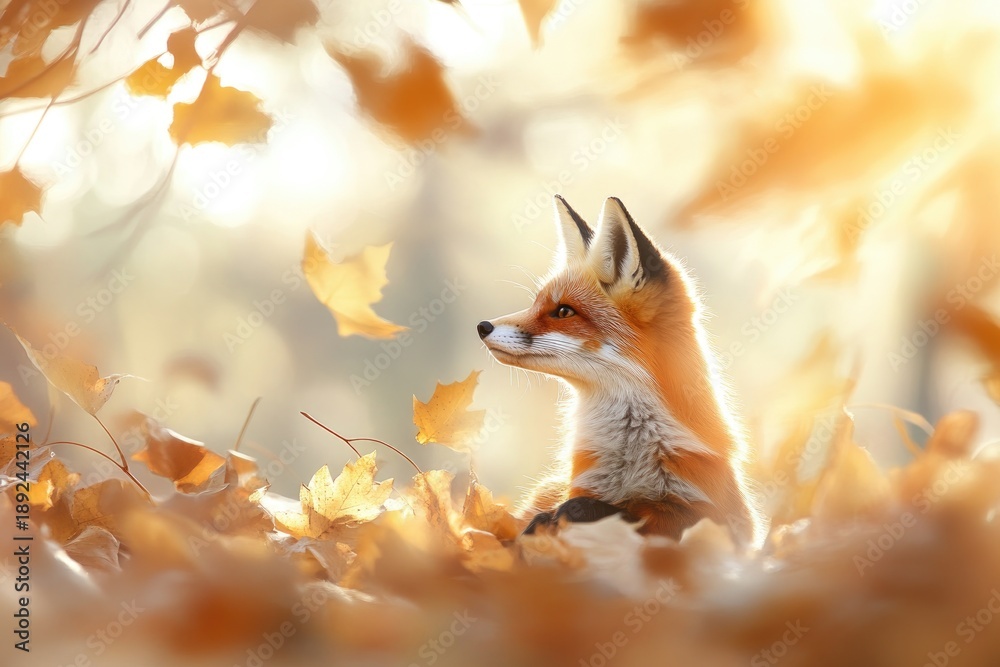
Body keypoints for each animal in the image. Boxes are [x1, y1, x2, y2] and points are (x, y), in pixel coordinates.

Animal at [477, 195, 762, 547]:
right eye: (536, 305)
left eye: (563, 311)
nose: (482, 326)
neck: (631, 458)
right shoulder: (580, 484)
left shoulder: (719, 514)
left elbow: (656, 519)